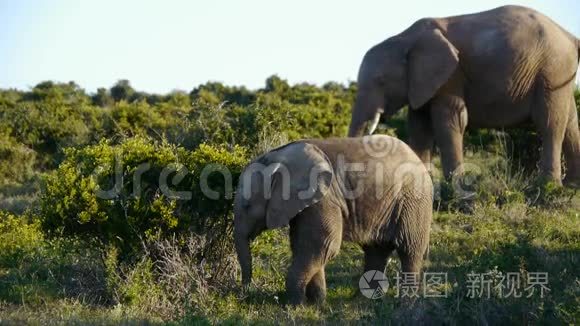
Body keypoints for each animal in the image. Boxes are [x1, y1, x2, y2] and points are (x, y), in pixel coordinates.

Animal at [232, 136, 430, 306]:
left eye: (248, 206)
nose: (245, 294)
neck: (276, 156)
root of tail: (417, 157)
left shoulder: (324, 199)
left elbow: (323, 245)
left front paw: (294, 305)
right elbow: (307, 246)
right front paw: (316, 304)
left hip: (413, 200)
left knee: (409, 248)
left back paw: (405, 306)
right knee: (376, 250)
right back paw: (364, 301)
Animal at [348, 5, 580, 185]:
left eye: (381, 81)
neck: (405, 39)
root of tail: (570, 36)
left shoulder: (450, 76)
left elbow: (450, 121)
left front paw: (455, 187)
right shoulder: (421, 82)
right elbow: (419, 127)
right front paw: (421, 184)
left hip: (551, 69)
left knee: (549, 123)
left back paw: (547, 187)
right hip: (558, 73)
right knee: (570, 123)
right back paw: (571, 186)